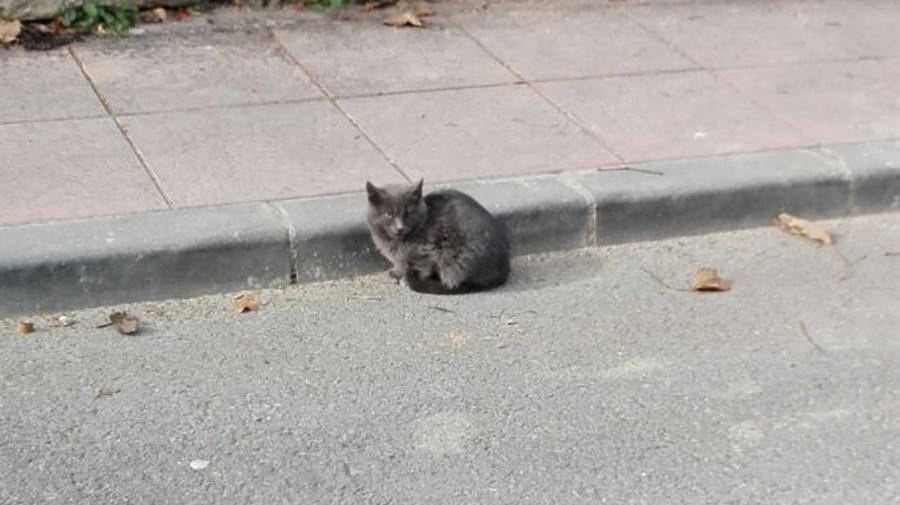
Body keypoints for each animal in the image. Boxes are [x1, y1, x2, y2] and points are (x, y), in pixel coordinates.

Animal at [364, 179, 506, 294]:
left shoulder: (427, 251)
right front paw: (397, 273)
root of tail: (502, 268)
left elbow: (421, 267)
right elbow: (400, 263)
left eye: (408, 213)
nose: (400, 228)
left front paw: (406, 279)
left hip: (453, 257)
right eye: (388, 215)